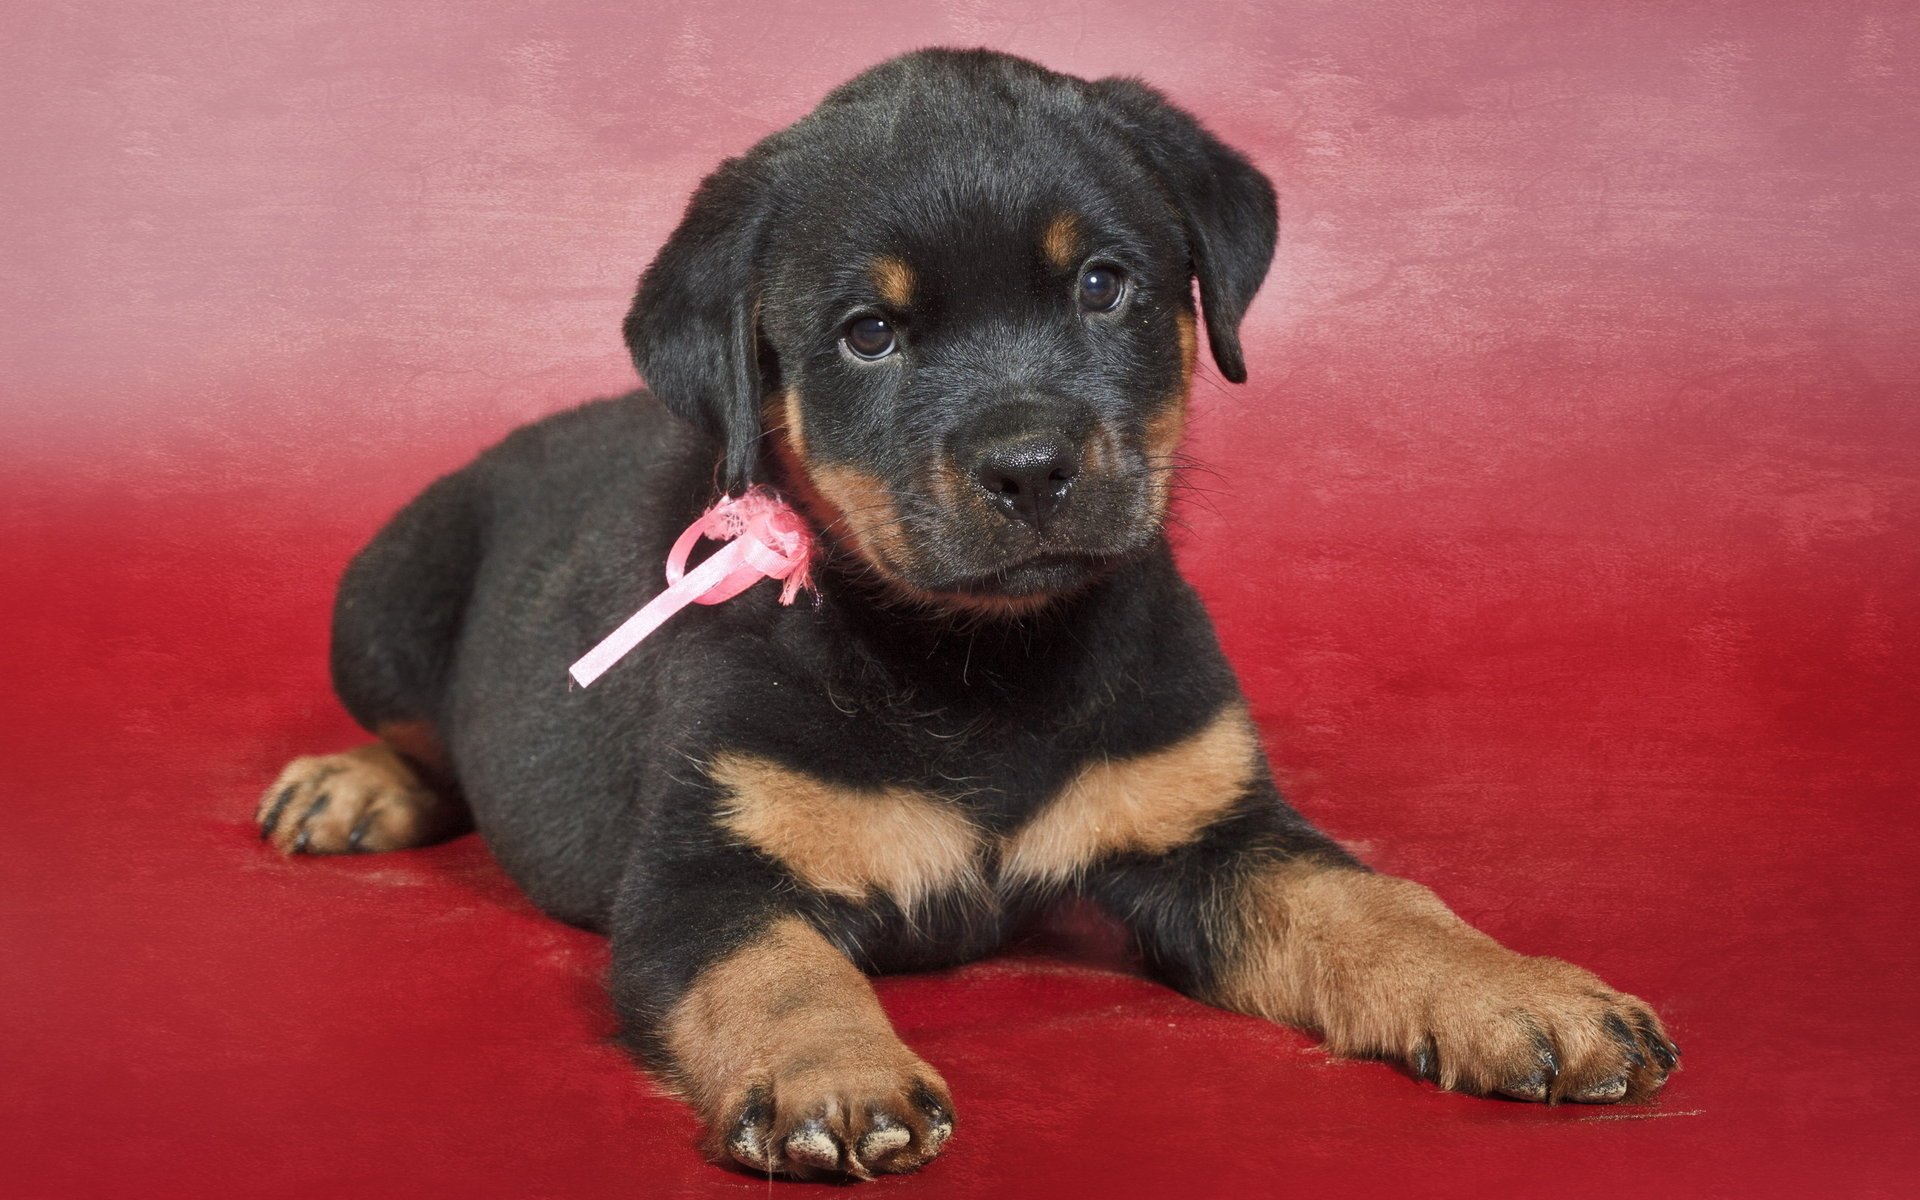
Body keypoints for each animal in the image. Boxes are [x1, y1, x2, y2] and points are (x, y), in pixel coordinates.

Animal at [257, 48, 1678, 1179]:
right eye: (868, 333)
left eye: (1103, 284)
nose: (1031, 468)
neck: (984, 662)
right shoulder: (702, 876)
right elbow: (779, 972)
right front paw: (835, 1076)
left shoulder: (1213, 828)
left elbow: (1376, 904)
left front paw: (1521, 994)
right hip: (379, 596)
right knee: (419, 733)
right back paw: (353, 785)